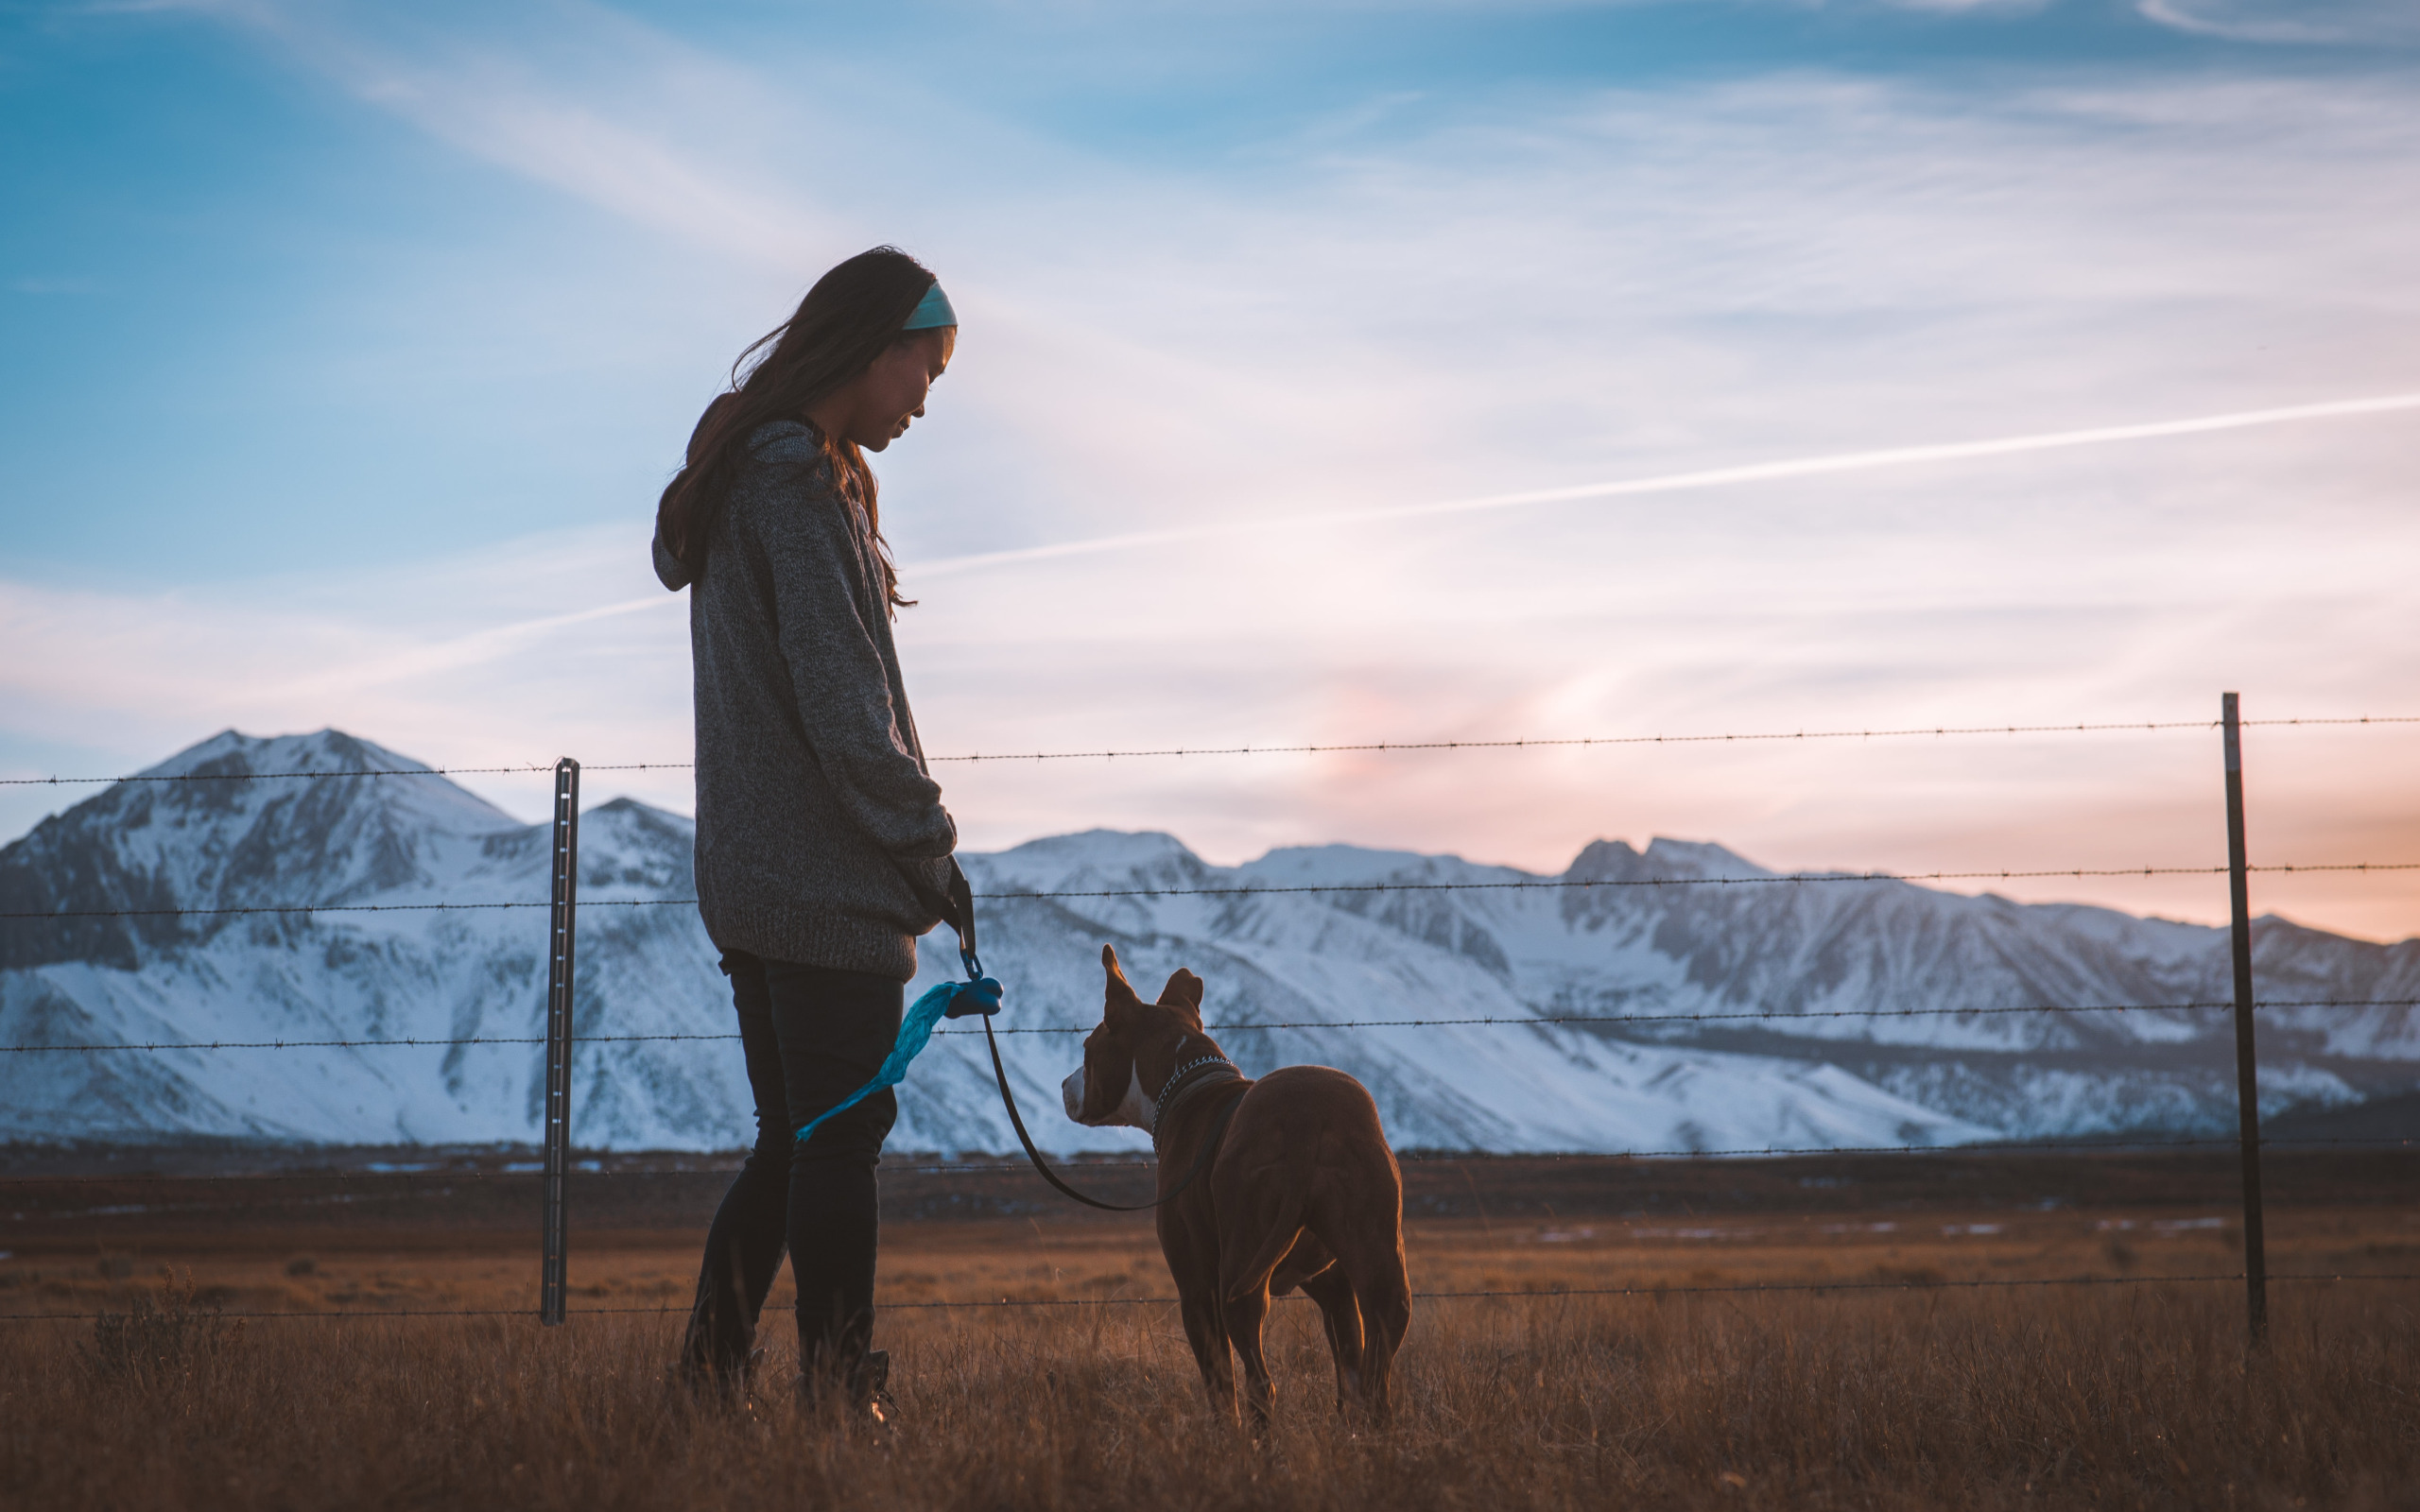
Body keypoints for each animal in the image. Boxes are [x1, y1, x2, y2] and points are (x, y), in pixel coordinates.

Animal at [1064, 943, 1413, 1422]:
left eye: (1087, 1048)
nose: (1064, 1086)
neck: (1186, 1083)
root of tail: (1305, 1121)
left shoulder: (1196, 1287)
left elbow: (1220, 1385)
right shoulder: (1332, 1285)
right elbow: (1350, 1365)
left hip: (1239, 1272)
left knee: (1259, 1382)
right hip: (1374, 1252)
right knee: (1378, 1368)